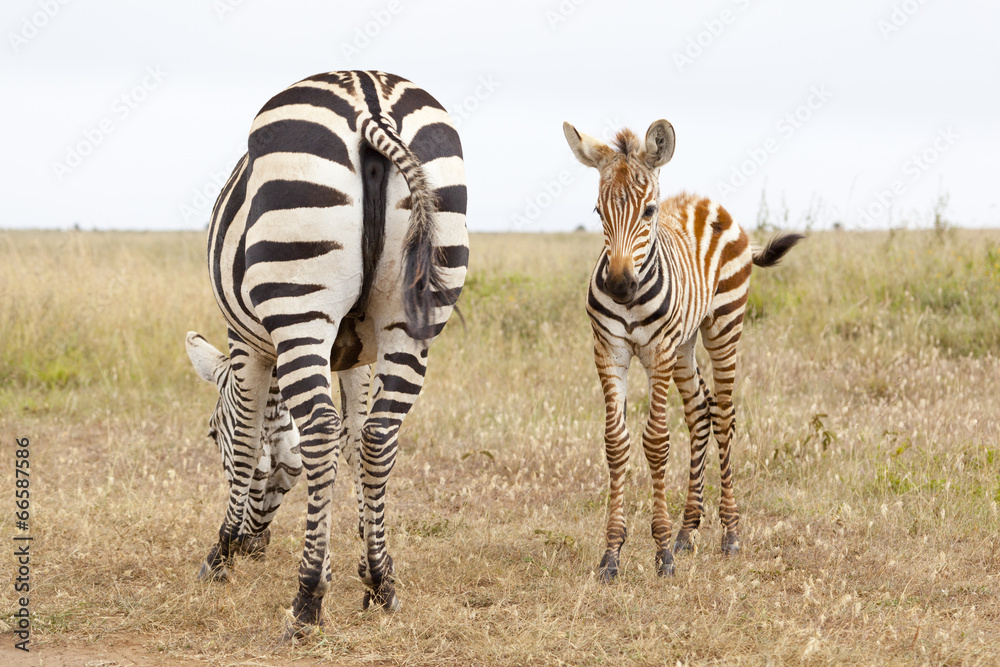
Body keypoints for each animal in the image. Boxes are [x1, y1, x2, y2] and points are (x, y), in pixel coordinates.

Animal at [190, 70, 468, 638]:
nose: (254, 548)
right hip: (413, 311)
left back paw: (307, 599)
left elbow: (249, 439)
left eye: (210, 434)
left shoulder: (245, 342)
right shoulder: (358, 353)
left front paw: (220, 555)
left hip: (300, 296)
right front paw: (368, 557)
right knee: (381, 436)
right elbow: (357, 438)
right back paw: (381, 587)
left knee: (319, 428)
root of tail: (371, 100)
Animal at [563, 119, 801, 581]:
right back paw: (688, 531)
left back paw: (729, 533)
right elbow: (615, 443)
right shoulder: (609, 351)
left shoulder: (658, 352)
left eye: (649, 211)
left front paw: (660, 552)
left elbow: (656, 441)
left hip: (723, 326)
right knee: (699, 412)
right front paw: (612, 554)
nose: (620, 286)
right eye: (599, 212)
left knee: (723, 413)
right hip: (685, 344)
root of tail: (706, 201)